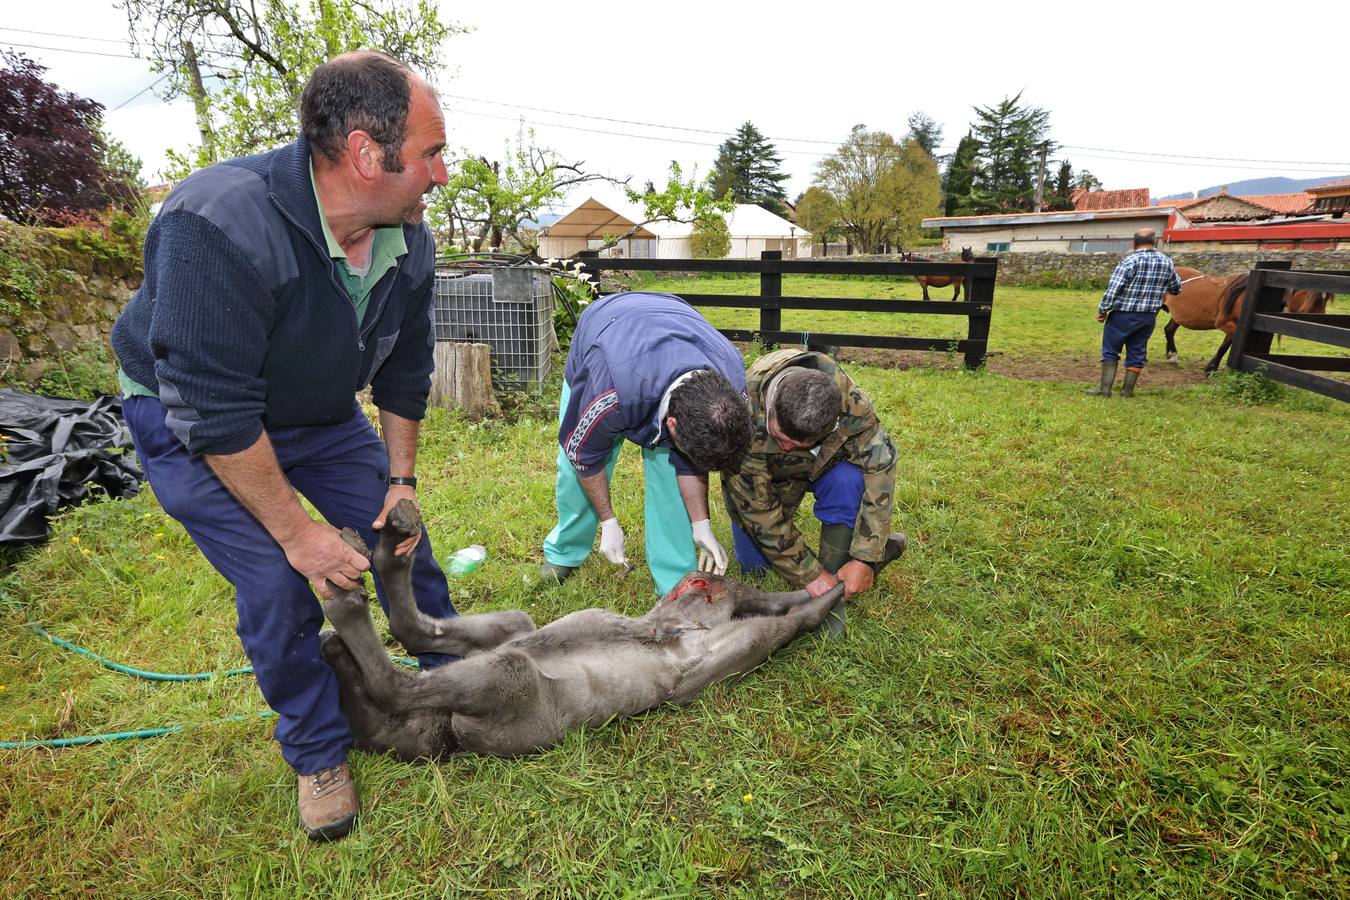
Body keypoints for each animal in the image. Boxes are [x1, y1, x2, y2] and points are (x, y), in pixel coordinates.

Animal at [1166, 265, 1333, 372]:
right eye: (1316, 299)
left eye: (1326, 300)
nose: (1324, 320)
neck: (1244, 295)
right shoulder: (1225, 323)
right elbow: (1228, 345)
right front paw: (1212, 367)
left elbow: (1224, 346)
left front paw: (1211, 368)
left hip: (1177, 317)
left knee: (1169, 330)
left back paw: (1172, 356)